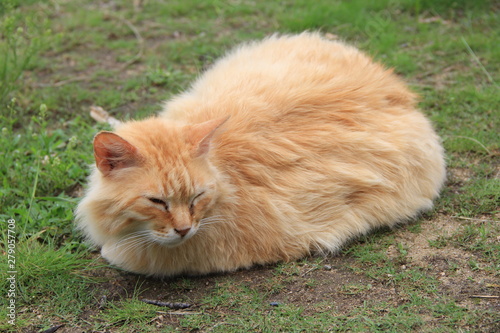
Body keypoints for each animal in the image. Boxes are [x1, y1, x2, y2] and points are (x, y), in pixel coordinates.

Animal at [77, 32, 446, 276]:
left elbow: (114, 252)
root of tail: (396, 86)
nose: (183, 230)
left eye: (196, 198)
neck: (225, 174)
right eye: (156, 202)